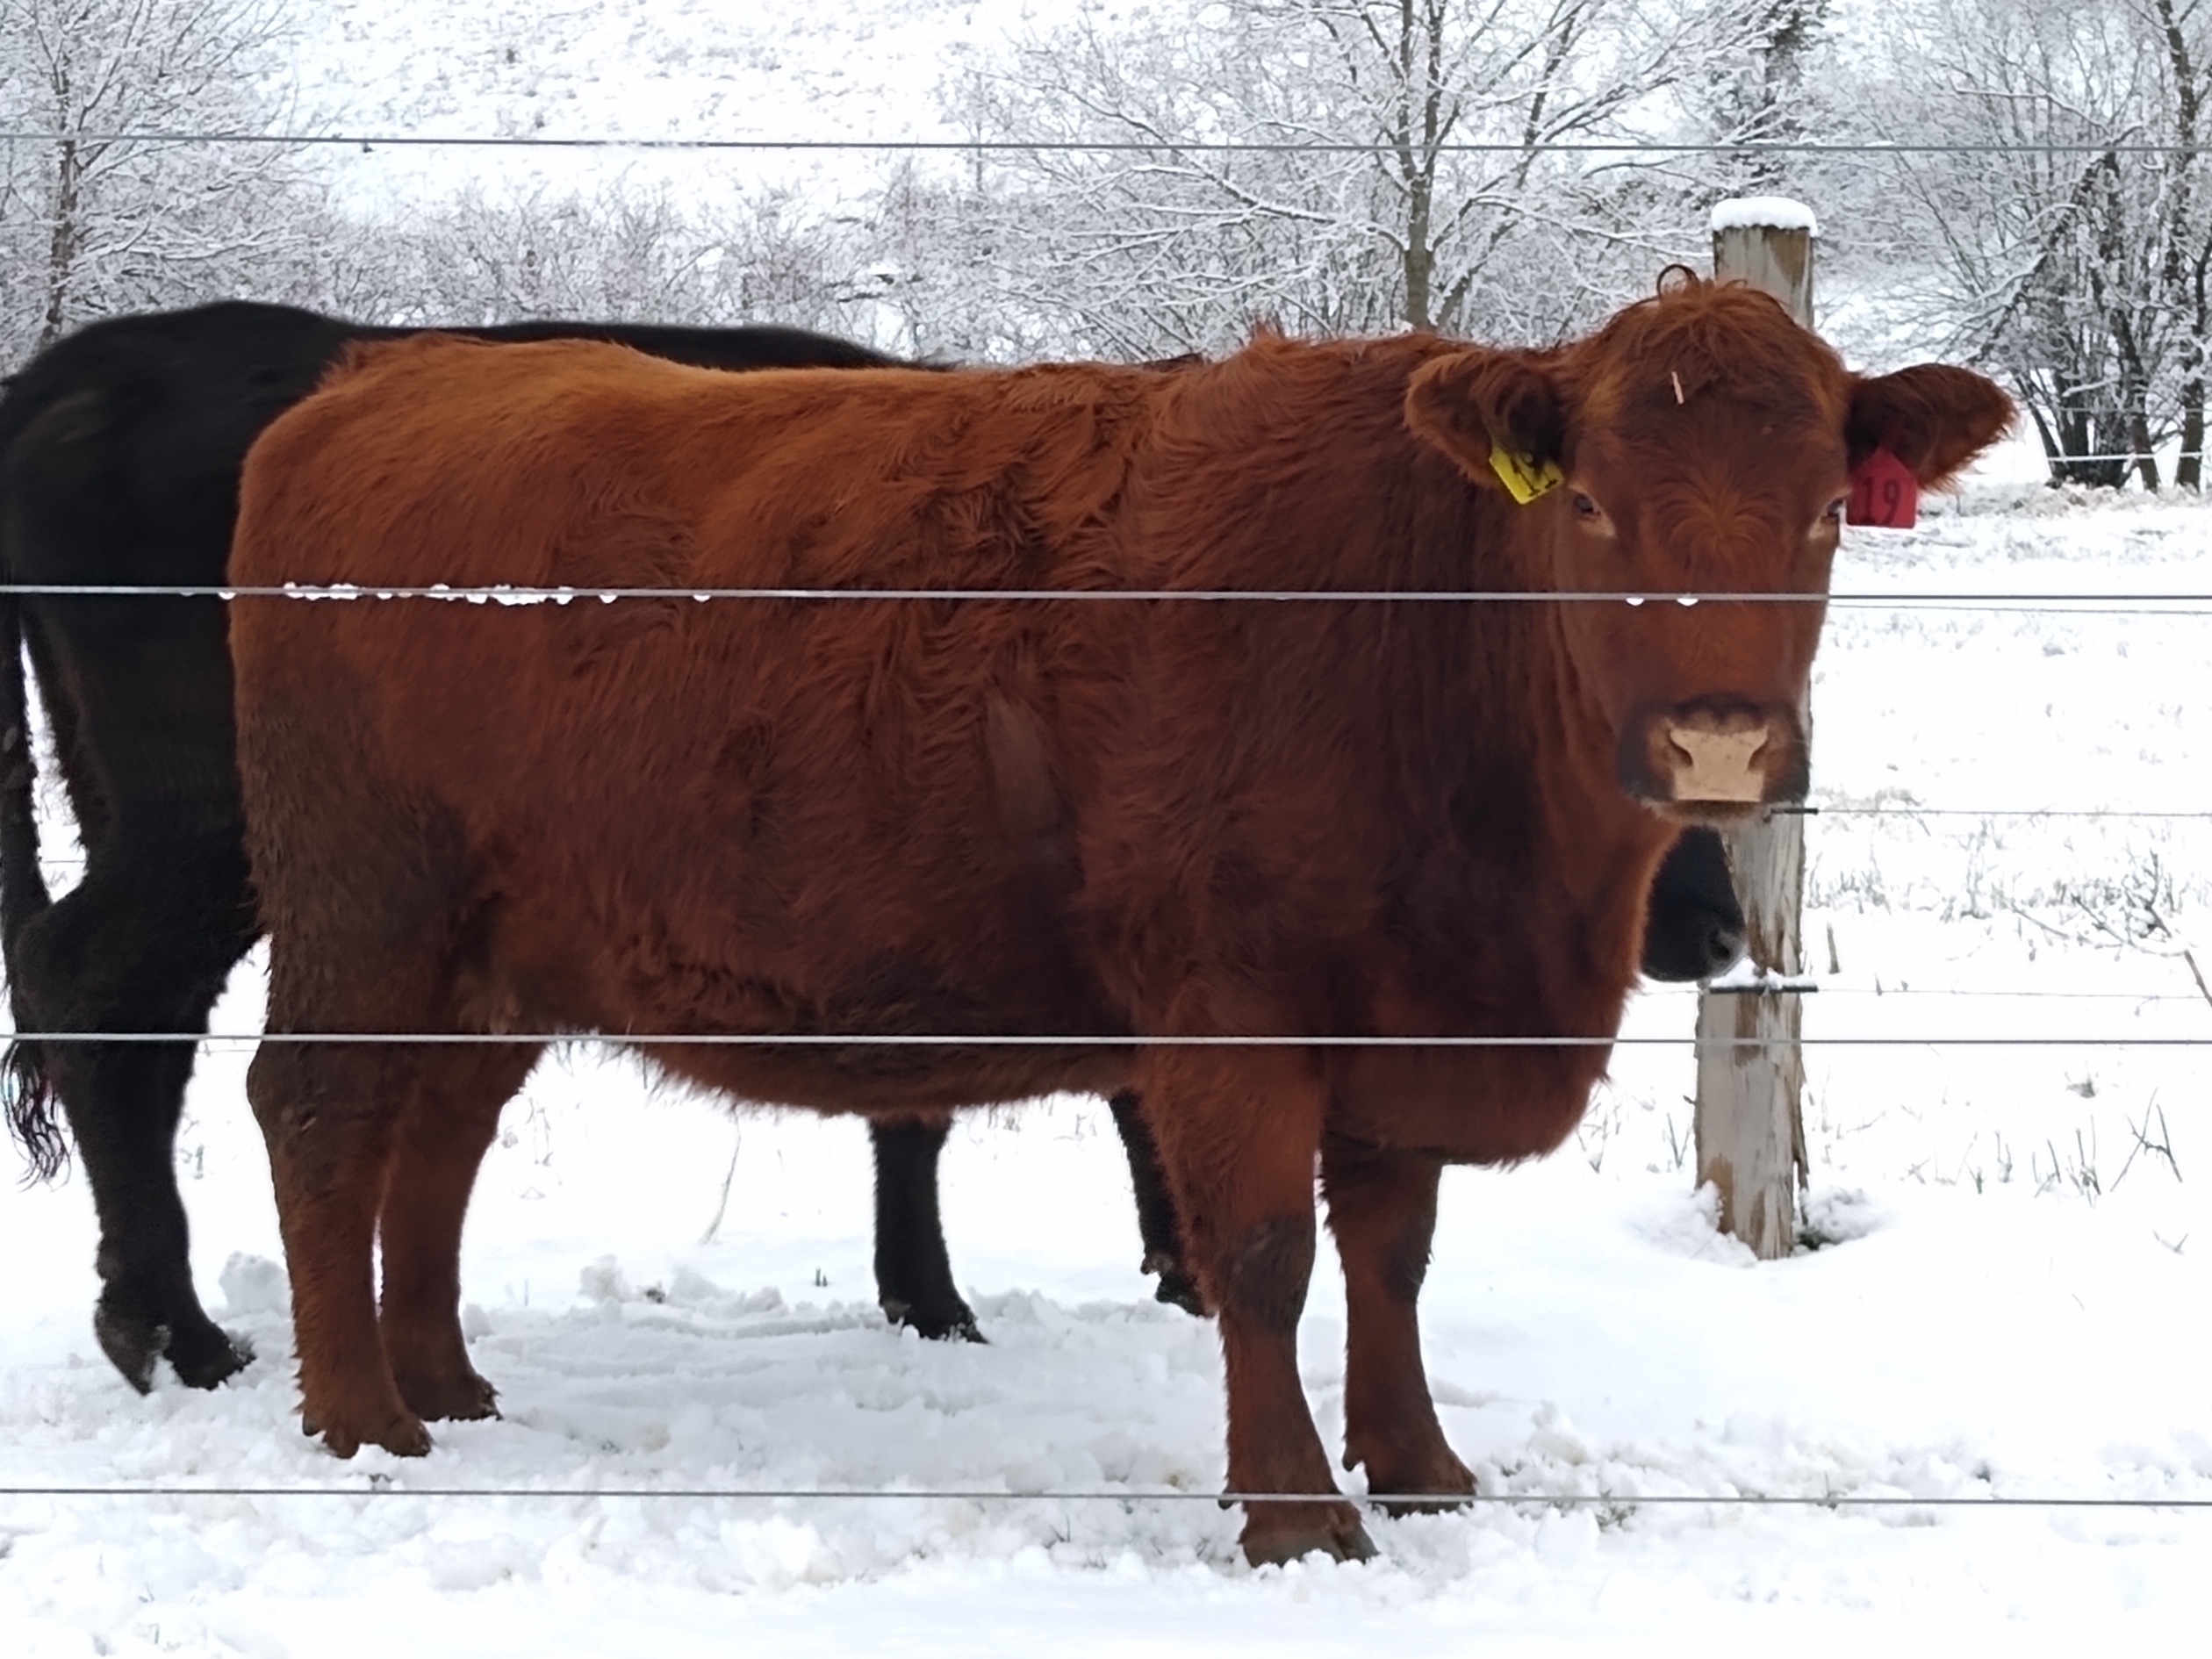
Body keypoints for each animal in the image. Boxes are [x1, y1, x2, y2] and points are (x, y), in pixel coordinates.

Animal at [0, 303, 1746, 1393]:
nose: (1723, 927)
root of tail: (80, 372)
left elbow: (934, 1099)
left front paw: (957, 1286)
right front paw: (1108, 1274)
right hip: (229, 846)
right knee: (113, 1005)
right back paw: (177, 1332)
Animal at [225, 278, 2010, 1564]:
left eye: (1824, 511)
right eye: (1589, 510)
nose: (1718, 741)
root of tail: (381, 382)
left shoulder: (1399, 1010)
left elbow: (1395, 1253)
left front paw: (1421, 1463)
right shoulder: (1230, 1011)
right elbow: (1268, 1258)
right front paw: (1296, 1510)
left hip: (496, 949)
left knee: (436, 1137)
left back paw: (445, 1381)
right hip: (363, 901)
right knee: (317, 1113)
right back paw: (362, 1417)